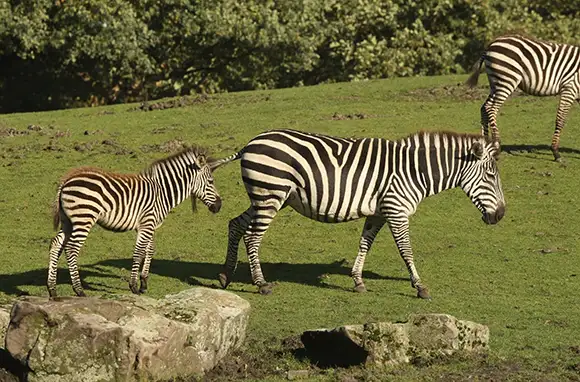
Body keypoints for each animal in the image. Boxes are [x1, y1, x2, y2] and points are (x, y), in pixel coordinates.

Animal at [46, 146, 220, 298]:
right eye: (211, 181)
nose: (219, 206)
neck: (162, 192)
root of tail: (67, 180)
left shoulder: (147, 225)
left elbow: (149, 250)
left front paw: (143, 282)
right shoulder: (147, 223)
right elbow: (138, 253)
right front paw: (134, 286)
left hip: (68, 221)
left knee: (56, 245)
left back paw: (52, 289)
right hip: (84, 218)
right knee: (71, 249)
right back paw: (79, 290)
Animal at [211, 130, 506, 300]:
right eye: (491, 176)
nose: (501, 215)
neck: (414, 171)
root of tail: (250, 143)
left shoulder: (378, 213)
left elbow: (365, 243)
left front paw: (358, 281)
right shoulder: (396, 210)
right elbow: (406, 250)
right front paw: (419, 286)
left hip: (269, 197)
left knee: (235, 224)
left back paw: (225, 275)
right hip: (270, 194)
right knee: (252, 237)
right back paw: (261, 284)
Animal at [466, 33, 580, 163]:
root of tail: (491, 45)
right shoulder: (570, 88)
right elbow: (561, 119)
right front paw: (556, 153)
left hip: (496, 83)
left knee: (484, 107)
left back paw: (485, 144)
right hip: (507, 80)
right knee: (491, 108)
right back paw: (497, 145)